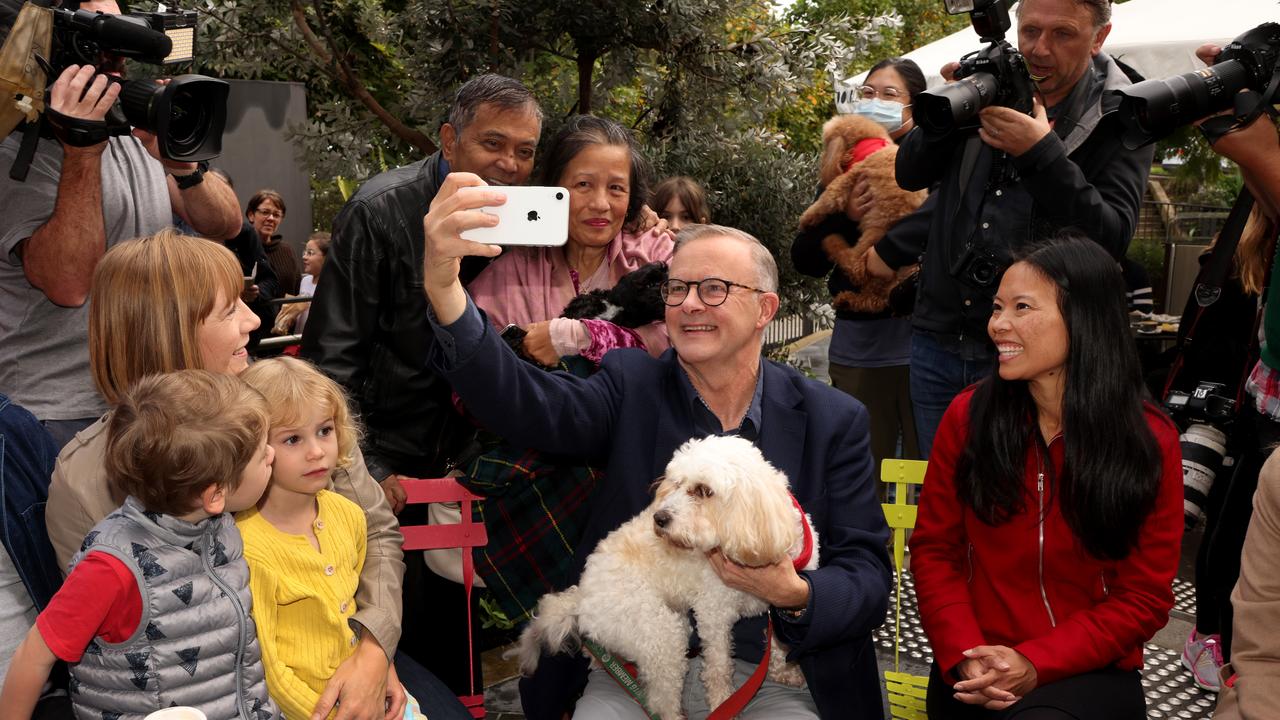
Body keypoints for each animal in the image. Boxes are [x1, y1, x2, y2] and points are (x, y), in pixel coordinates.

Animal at [514, 430, 814, 717]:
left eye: (703, 490)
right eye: (676, 484)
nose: (659, 519)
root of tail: (580, 598)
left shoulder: (777, 602)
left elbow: (779, 643)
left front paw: (783, 671)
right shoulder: (714, 616)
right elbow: (718, 667)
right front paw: (723, 703)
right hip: (661, 635)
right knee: (660, 699)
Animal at [793, 112, 926, 311]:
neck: (869, 144)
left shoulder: (847, 180)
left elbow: (825, 201)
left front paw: (805, 220)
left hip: (872, 237)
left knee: (856, 268)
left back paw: (832, 242)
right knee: (873, 300)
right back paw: (846, 300)